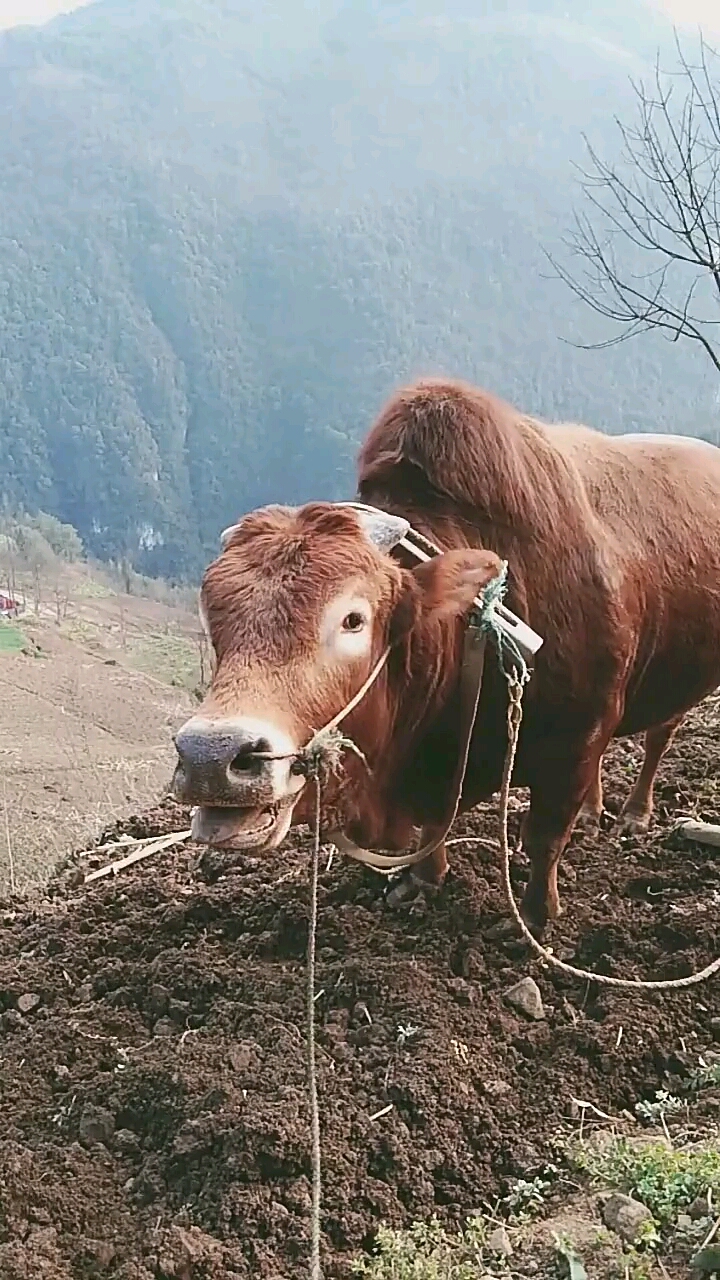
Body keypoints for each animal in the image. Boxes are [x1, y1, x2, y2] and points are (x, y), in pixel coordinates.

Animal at [172, 376, 717, 931]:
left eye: (353, 619)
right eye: (214, 620)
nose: (211, 758)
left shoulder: (576, 739)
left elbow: (544, 841)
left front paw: (535, 918)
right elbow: (436, 823)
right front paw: (423, 880)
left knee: (659, 737)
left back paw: (633, 813)